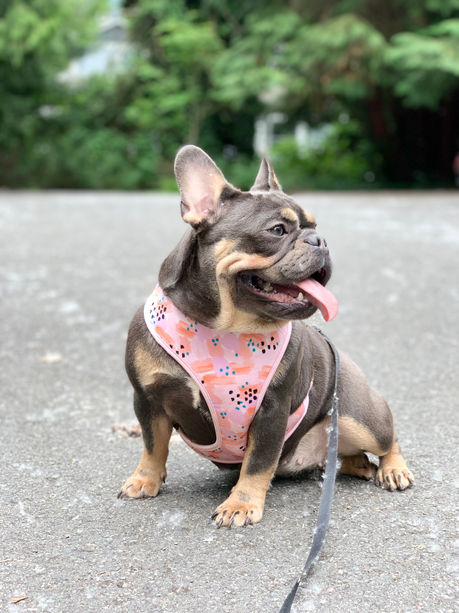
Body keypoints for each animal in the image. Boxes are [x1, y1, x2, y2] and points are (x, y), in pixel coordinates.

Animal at [118, 145, 414, 527]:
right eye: (277, 229)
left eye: (314, 226)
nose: (321, 240)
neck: (223, 329)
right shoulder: (148, 397)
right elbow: (153, 444)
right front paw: (145, 479)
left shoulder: (272, 410)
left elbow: (258, 462)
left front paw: (241, 504)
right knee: (350, 455)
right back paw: (357, 464)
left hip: (358, 417)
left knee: (388, 439)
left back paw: (393, 469)